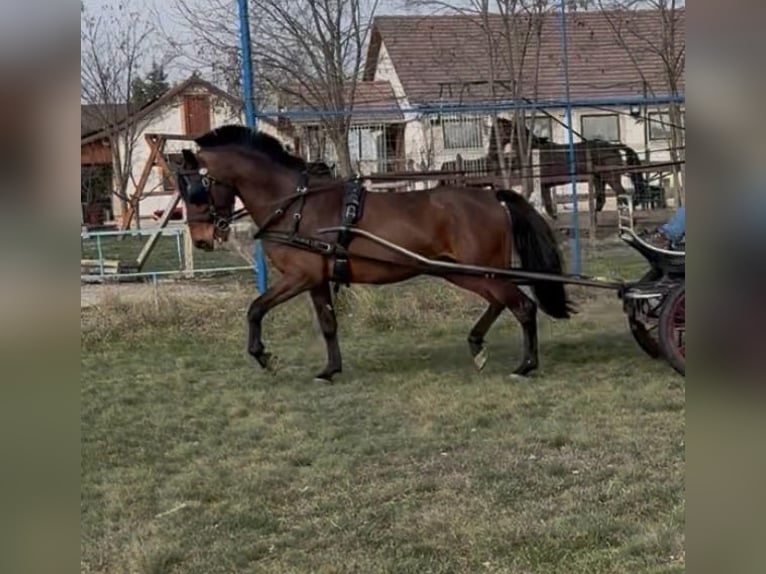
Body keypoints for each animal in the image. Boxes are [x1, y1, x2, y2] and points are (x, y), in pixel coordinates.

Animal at [174, 124, 576, 383]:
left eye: (196, 189)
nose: (202, 239)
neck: (294, 205)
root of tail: (493, 196)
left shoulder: (299, 276)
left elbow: (255, 308)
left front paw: (263, 356)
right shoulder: (316, 279)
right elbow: (328, 323)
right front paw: (329, 370)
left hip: (476, 269)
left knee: (522, 306)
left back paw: (525, 365)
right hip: (462, 270)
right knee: (500, 302)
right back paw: (477, 345)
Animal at [495, 118, 646, 218]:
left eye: (501, 128)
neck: (532, 151)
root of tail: (613, 147)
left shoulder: (536, 185)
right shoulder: (544, 186)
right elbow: (549, 207)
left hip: (611, 177)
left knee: (622, 195)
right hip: (600, 179)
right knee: (602, 200)